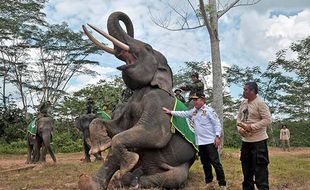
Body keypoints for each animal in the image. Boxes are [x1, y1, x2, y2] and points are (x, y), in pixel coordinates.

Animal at [78, 11, 196, 190]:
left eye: (147, 48)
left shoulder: (159, 102)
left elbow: (154, 134)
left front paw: (128, 162)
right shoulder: (127, 106)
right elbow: (117, 128)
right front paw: (101, 145)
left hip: (181, 170)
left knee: (172, 178)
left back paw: (134, 181)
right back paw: (93, 183)